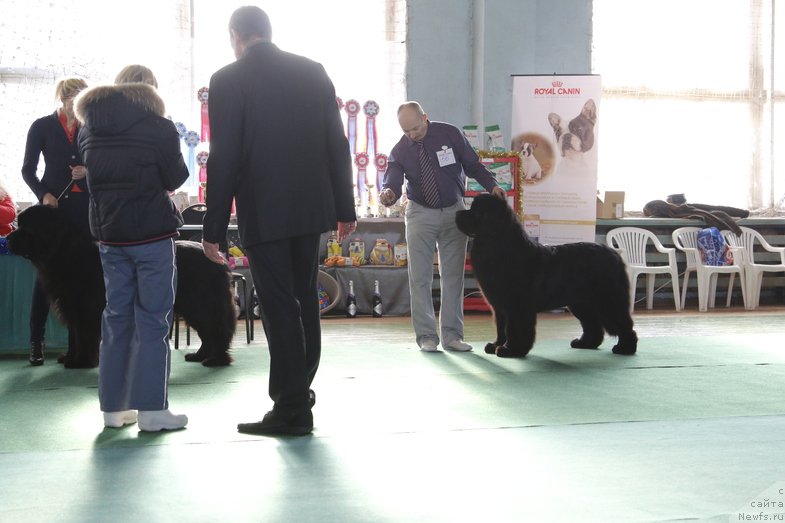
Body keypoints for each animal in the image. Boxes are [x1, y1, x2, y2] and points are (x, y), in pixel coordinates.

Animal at [7, 205, 236, 368]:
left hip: (200, 304)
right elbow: (75, 335)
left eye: (25, 227)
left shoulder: (84, 309)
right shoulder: (71, 307)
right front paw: (71, 358)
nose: (7, 239)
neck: (64, 252)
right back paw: (199, 355)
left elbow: (83, 336)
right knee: (207, 333)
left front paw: (81, 362)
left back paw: (216, 360)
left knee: (216, 330)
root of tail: (219, 259)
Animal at [454, 194, 636, 358]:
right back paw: (585, 343)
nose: (457, 213)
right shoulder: (499, 306)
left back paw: (625, 348)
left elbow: (514, 329)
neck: (499, 246)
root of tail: (614, 253)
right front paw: (496, 345)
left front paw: (511, 350)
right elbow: (501, 327)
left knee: (623, 324)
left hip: (608, 300)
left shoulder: (516, 306)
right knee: (592, 325)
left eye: (477, 212)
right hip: (581, 302)